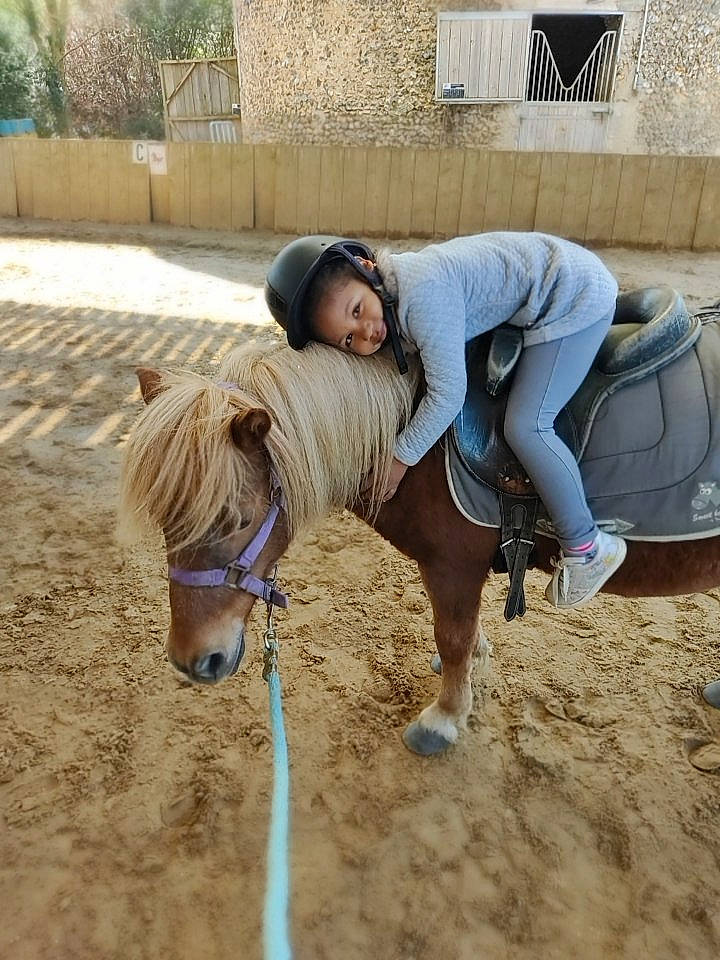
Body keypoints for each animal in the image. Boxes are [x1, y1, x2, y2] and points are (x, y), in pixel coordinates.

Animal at [120, 340, 720, 756]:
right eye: (167, 519)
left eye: (238, 519)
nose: (194, 661)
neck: (416, 438)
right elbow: (466, 637)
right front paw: (473, 668)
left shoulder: (453, 568)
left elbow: (452, 638)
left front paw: (445, 717)